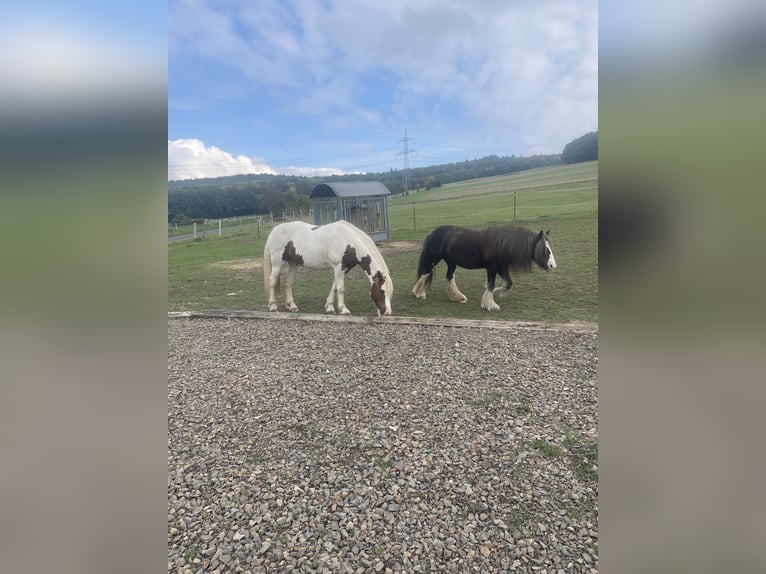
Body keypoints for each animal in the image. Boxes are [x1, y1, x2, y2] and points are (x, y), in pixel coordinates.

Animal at [263, 220, 393, 316]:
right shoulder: (338, 267)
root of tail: (274, 230)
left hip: (293, 263)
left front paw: (329, 307)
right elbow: (341, 288)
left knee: (288, 281)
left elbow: (334, 287)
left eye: (390, 292)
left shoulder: (343, 269)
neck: (348, 241)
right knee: (272, 281)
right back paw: (273, 306)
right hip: (277, 262)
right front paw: (343, 309)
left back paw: (292, 306)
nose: (387, 312)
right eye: (382, 290)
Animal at [411, 224, 556, 311]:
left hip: (451, 262)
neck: (501, 243)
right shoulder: (491, 268)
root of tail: (432, 233)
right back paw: (419, 293)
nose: (552, 266)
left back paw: (458, 297)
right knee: (425, 273)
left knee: (449, 277)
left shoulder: (501, 267)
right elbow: (491, 285)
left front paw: (496, 296)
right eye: (545, 249)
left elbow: (508, 283)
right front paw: (490, 304)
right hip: (433, 260)